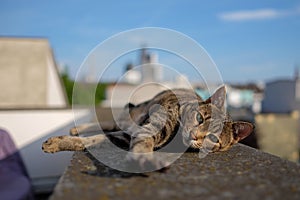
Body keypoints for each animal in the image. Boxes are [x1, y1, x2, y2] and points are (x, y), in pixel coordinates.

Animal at [42, 86, 253, 172]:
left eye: (213, 139)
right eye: (200, 118)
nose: (194, 135)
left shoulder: (125, 136)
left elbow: (95, 140)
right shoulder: (146, 127)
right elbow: (95, 138)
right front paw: (57, 142)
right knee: (108, 123)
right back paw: (79, 128)